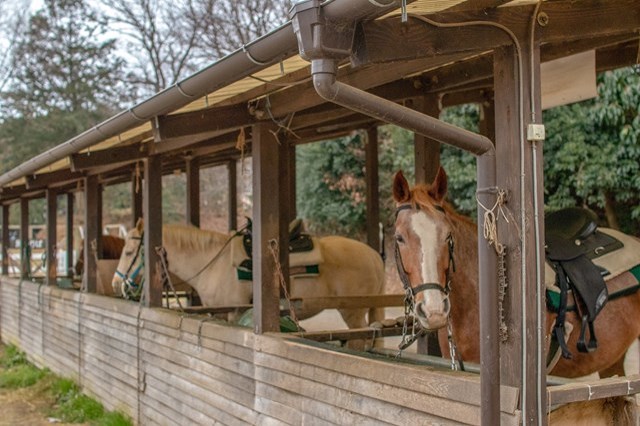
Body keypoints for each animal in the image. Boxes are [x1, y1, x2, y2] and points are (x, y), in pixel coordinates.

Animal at [111, 220, 384, 336]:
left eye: (128, 252)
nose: (116, 283)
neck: (214, 263)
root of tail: (374, 255)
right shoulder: (218, 313)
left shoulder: (234, 312)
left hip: (353, 312)